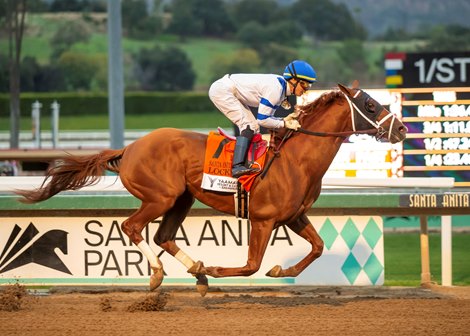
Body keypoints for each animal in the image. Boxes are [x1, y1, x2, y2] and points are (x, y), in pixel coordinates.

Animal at [16, 82, 406, 296]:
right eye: (371, 105)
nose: (401, 129)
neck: (297, 159)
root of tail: (129, 148)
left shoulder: (293, 216)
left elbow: (319, 247)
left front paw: (281, 272)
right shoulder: (263, 220)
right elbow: (250, 265)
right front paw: (220, 269)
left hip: (181, 199)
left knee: (163, 236)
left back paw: (198, 273)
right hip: (160, 197)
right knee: (132, 227)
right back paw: (160, 275)